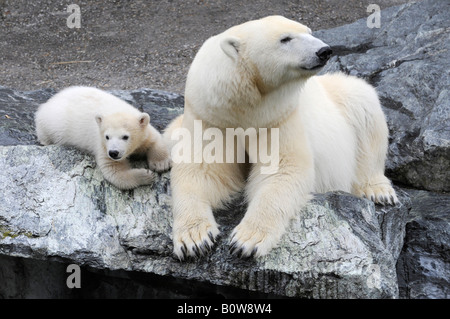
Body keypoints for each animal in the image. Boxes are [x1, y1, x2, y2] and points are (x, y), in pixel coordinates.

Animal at [166, 15, 398, 260]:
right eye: (285, 39)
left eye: (309, 31)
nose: (324, 51)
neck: (242, 103)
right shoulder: (210, 117)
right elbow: (202, 170)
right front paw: (194, 240)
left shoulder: (277, 117)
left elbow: (282, 169)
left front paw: (246, 241)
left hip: (341, 100)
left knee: (364, 109)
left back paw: (379, 191)